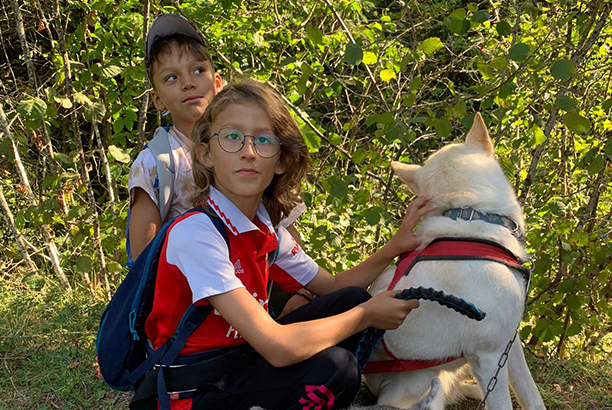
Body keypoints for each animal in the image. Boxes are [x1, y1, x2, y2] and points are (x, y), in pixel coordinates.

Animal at [358, 114, 544, 410]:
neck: (470, 214)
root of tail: (375, 387)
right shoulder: (489, 357)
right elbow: (502, 402)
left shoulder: (509, 342)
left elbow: (533, 397)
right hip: (424, 380)